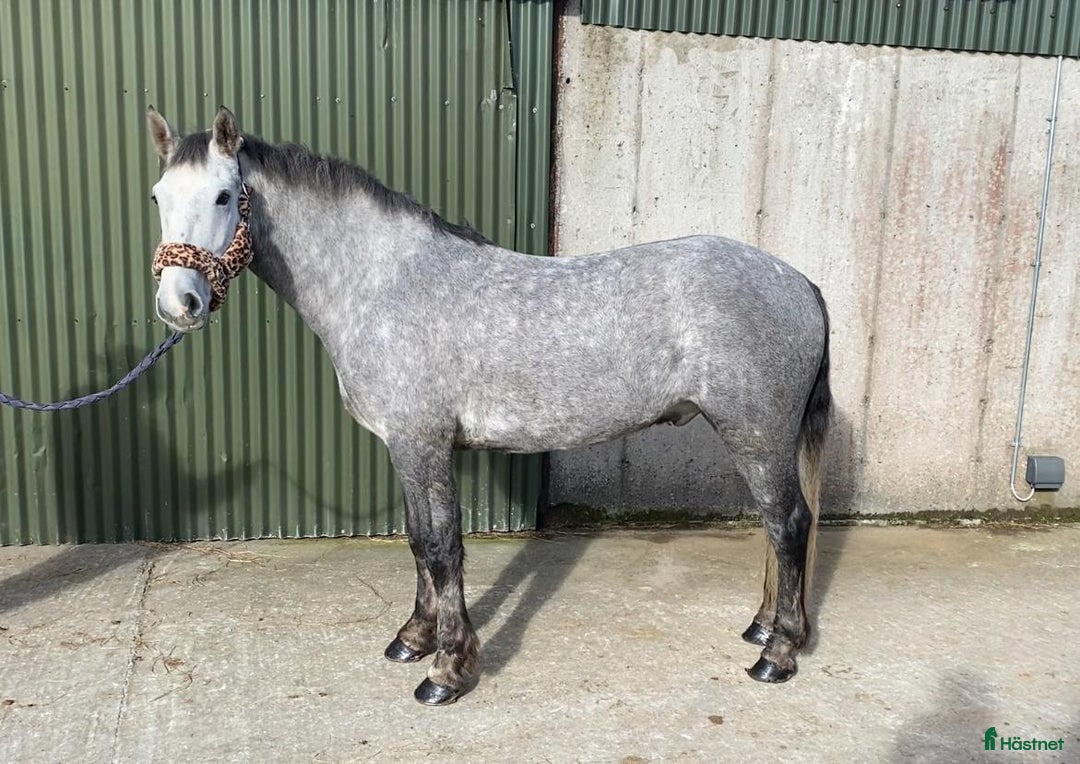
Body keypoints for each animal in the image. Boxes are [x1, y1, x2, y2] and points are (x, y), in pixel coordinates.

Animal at [146, 107, 832, 706]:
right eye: (157, 196)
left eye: (224, 196)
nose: (179, 304)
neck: (383, 284)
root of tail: (800, 282)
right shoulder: (406, 447)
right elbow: (418, 542)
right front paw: (414, 640)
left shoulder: (422, 444)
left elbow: (443, 548)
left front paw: (447, 670)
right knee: (777, 528)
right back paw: (763, 627)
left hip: (755, 435)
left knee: (789, 524)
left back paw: (778, 654)